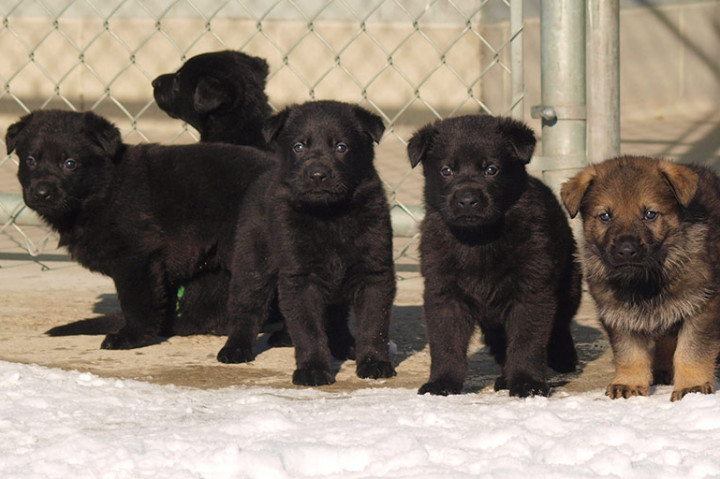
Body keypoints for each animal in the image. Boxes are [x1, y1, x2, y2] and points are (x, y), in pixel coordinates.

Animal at [7, 111, 274, 352]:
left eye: (69, 164)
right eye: (30, 160)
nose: (41, 192)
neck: (106, 188)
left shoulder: (137, 257)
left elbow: (137, 303)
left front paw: (131, 338)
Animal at [221, 101, 396, 386]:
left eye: (341, 147)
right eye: (299, 147)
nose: (317, 175)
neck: (329, 215)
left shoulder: (374, 272)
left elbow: (374, 323)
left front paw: (374, 362)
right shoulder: (300, 277)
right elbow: (308, 328)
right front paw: (313, 369)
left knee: (335, 315)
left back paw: (344, 344)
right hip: (253, 261)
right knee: (247, 306)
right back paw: (235, 348)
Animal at [408, 115, 584, 398]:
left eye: (491, 169)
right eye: (446, 171)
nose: (467, 200)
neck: (478, 238)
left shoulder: (531, 290)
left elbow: (527, 341)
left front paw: (528, 383)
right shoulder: (443, 293)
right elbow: (446, 343)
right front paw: (442, 383)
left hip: (569, 282)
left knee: (560, 323)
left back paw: (563, 357)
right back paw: (504, 377)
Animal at [564, 157, 720, 402]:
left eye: (650, 214)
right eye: (605, 216)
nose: (626, 250)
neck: (645, 278)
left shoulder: (702, 305)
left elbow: (691, 350)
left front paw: (692, 386)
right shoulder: (617, 312)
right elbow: (629, 352)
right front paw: (629, 382)